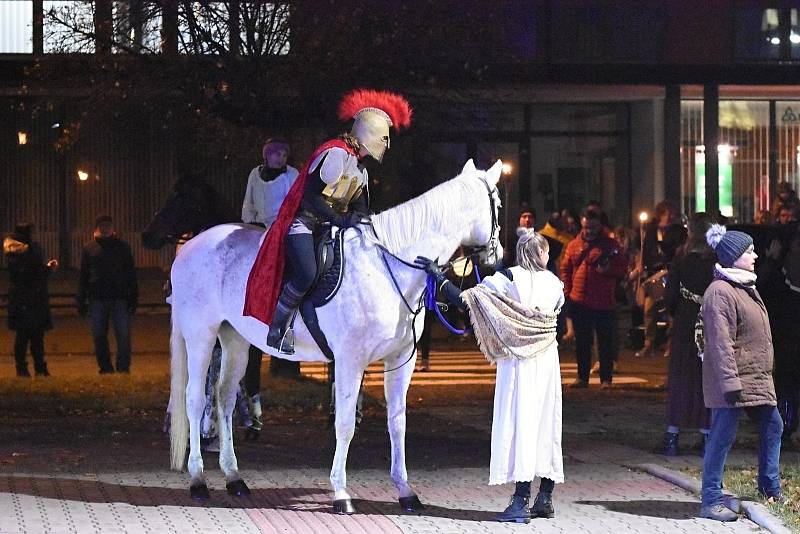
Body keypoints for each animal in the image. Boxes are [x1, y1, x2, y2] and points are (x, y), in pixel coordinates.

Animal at [169, 159, 504, 516]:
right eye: (497, 204)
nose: (497, 258)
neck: (389, 265)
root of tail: (187, 249)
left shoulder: (402, 359)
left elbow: (397, 422)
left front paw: (405, 491)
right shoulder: (349, 361)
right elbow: (344, 425)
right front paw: (341, 493)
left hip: (235, 340)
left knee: (224, 398)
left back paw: (234, 478)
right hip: (201, 335)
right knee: (195, 399)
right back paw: (198, 480)